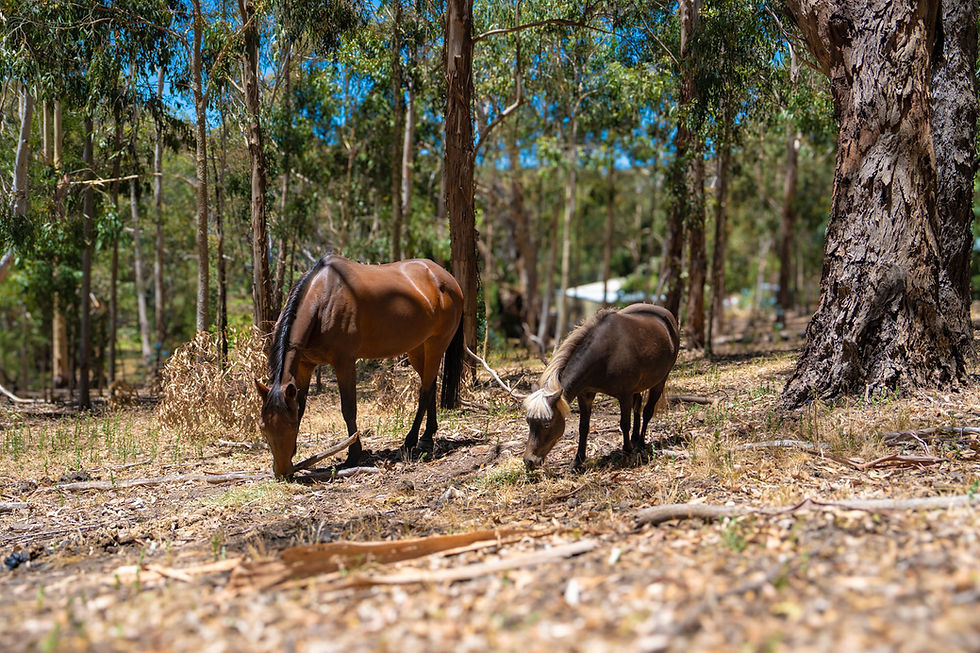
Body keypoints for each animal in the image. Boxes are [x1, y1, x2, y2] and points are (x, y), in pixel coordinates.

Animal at [254, 254, 464, 478]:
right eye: (263, 426)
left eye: (291, 425)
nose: (282, 471)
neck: (322, 301)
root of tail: (447, 279)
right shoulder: (305, 365)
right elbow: (301, 407)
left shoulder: (344, 362)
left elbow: (348, 409)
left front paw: (353, 454)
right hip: (417, 349)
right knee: (430, 385)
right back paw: (428, 437)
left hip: (436, 345)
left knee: (424, 391)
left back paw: (411, 441)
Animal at [522, 303, 679, 470]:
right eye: (528, 422)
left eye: (547, 424)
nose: (529, 461)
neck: (605, 355)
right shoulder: (585, 394)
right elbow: (583, 427)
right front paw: (577, 461)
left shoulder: (625, 395)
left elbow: (625, 424)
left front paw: (626, 455)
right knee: (637, 407)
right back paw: (635, 439)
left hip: (660, 381)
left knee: (647, 412)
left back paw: (640, 444)